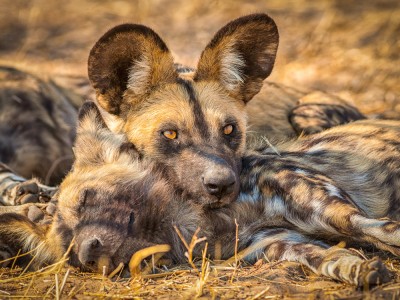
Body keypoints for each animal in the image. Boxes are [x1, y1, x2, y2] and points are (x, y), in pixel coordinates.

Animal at [1, 102, 398, 288]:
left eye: (86, 199)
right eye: (70, 254)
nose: (86, 253)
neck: (204, 220)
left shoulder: (328, 208)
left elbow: (383, 230)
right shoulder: (280, 245)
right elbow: (327, 258)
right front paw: (357, 268)